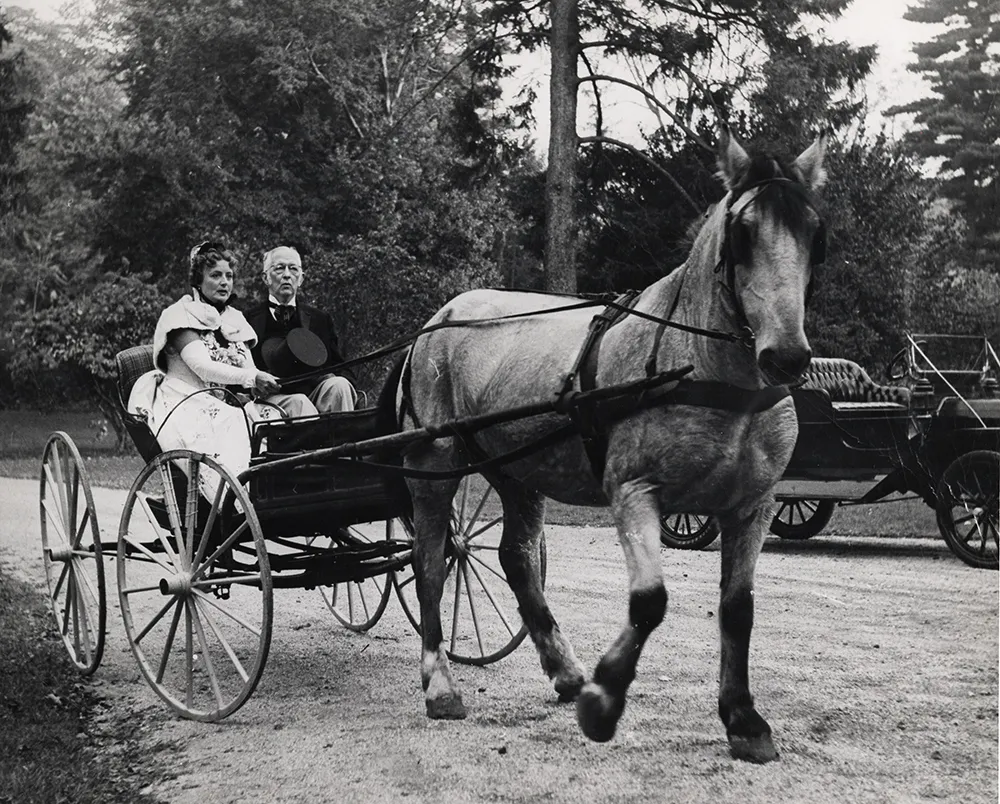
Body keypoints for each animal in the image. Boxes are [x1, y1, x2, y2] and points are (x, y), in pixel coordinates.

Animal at [388, 129, 828, 764]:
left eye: (816, 233)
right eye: (743, 232)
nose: (786, 355)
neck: (707, 371)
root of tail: (438, 320)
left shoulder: (753, 505)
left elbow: (738, 608)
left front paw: (743, 716)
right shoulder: (634, 490)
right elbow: (649, 601)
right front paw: (604, 700)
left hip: (518, 471)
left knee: (516, 559)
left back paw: (565, 670)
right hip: (435, 464)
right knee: (428, 563)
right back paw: (441, 682)